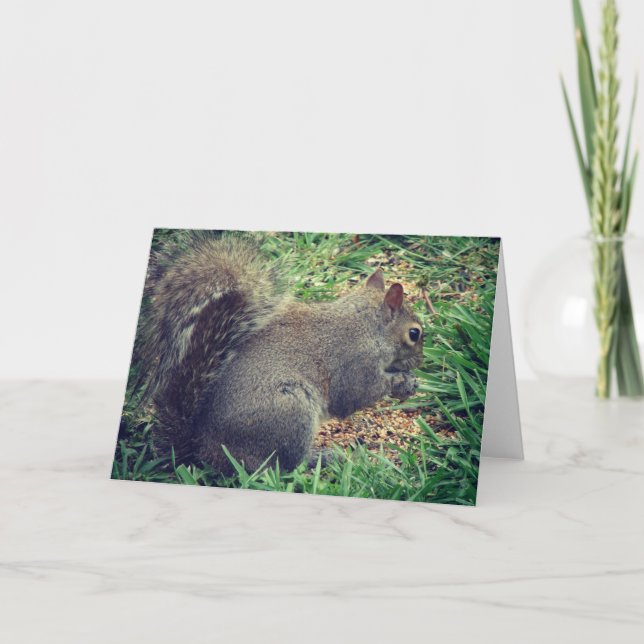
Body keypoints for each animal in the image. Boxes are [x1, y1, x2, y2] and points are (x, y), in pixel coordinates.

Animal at [135, 231, 425, 475]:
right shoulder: (355, 361)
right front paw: (401, 382)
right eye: (414, 333)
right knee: (284, 465)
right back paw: (321, 458)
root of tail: (204, 452)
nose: (420, 361)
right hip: (291, 410)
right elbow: (354, 395)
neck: (368, 327)